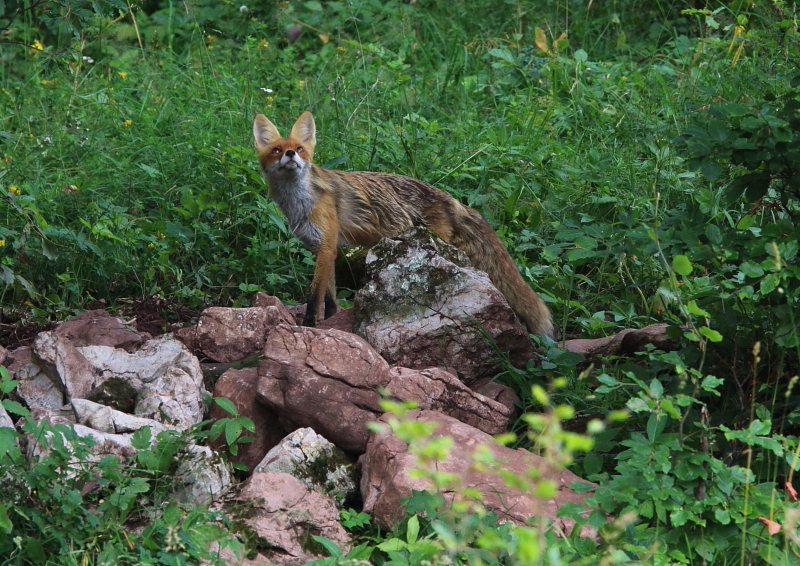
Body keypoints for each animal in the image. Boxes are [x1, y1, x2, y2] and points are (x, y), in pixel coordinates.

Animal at [253, 113, 552, 340]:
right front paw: (328, 322)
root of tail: (453, 200)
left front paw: (307, 326)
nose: (290, 154)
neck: (299, 203)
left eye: (299, 149)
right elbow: (330, 299)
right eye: (276, 150)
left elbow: (314, 297)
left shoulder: (327, 247)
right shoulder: (322, 249)